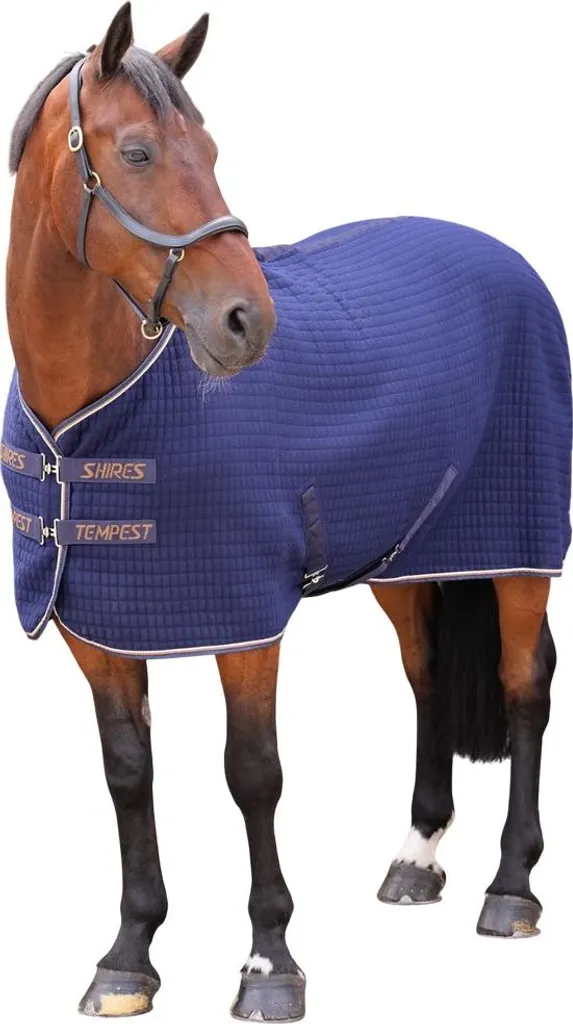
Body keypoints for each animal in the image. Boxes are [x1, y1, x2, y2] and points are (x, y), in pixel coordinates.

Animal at [2, 4, 571, 1021]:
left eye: (212, 149)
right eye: (138, 152)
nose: (245, 322)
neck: (94, 420)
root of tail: (503, 257)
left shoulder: (246, 622)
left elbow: (252, 774)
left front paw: (270, 962)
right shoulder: (96, 627)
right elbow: (128, 776)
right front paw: (129, 956)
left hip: (516, 547)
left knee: (524, 686)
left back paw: (511, 888)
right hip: (403, 558)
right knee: (427, 674)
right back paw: (416, 857)